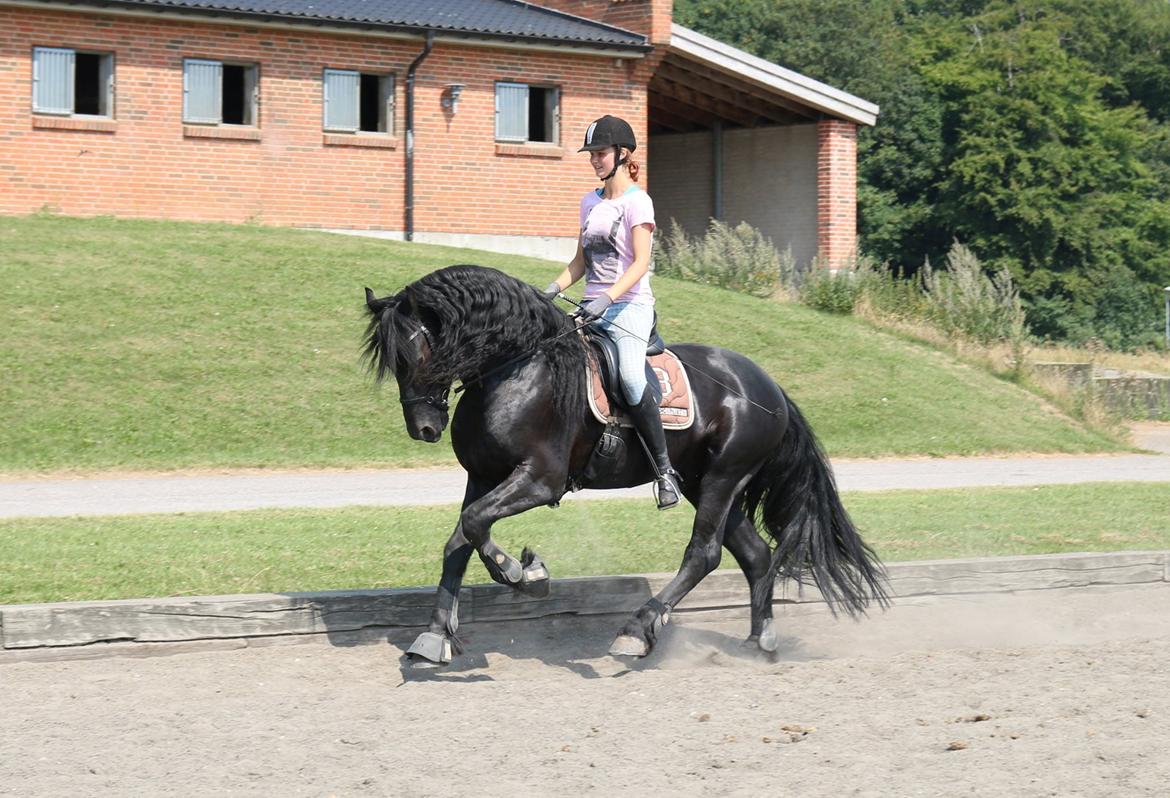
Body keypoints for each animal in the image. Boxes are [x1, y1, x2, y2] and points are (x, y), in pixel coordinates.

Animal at [365, 264, 884, 659]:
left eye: (414, 354)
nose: (423, 429)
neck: (517, 369)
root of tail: (768, 385)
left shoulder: (540, 480)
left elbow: (476, 526)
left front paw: (525, 573)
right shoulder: (482, 476)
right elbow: (460, 540)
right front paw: (435, 634)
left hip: (724, 477)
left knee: (704, 553)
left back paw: (636, 632)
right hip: (706, 482)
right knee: (754, 555)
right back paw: (760, 640)